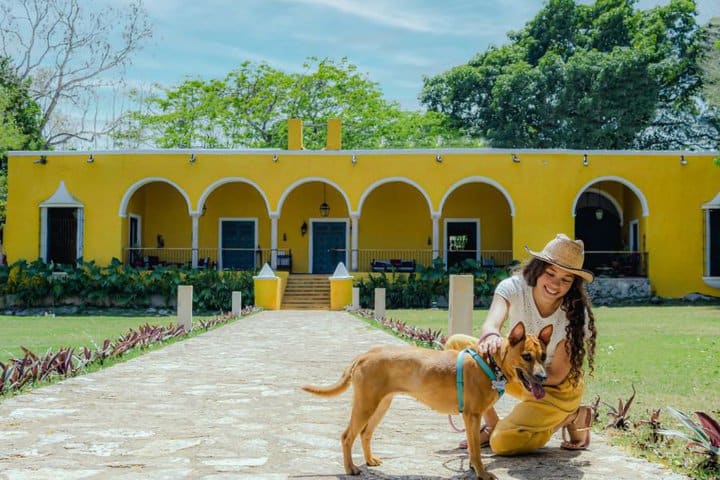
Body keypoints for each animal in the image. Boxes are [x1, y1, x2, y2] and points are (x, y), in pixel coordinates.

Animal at [300, 320, 556, 478]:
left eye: (543, 356)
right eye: (526, 356)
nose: (543, 378)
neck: (490, 363)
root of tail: (365, 354)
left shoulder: (473, 418)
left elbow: (473, 448)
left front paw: (473, 468)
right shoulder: (472, 416)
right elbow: (475, 449)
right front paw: (481, 472)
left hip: (380, 405)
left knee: (365, 433)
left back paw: (370, 460)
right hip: (366, 405)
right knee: (347, 436)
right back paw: (350, 468)